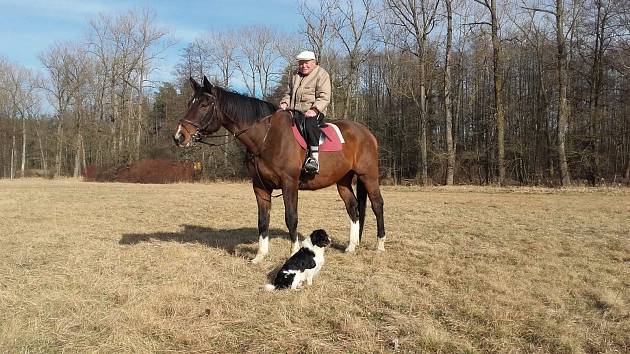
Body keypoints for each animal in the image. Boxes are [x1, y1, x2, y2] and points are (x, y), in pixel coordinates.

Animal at [175, 76, 388, 262]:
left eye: (203, 105)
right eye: (189, 103)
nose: (179, 136)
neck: (266, 137)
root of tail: (366, 133)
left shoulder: (289, 184)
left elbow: (291, 218)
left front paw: (293, 252)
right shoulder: (260, 187)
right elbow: (263, 220)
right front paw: (259, 256)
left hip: (368, 176)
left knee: (377, 205)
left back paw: (380, 244)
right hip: (343, 181)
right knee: (353, 207)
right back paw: (351, 246)